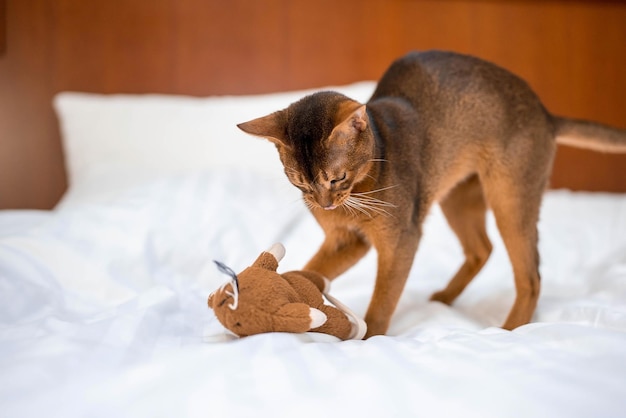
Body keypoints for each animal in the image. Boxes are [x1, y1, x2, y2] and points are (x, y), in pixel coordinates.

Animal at [235, 49, 624, 336]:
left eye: (337, 178)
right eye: (300, 183)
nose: (325, 205)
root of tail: (545, 113)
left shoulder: (401, 239)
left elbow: (383, 300)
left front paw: (371, 338)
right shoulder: (348, 240)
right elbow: (311, 269)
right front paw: (281, 285)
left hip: (510, 198)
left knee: (531, 276)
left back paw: (509, 330)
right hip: (459, 196)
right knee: (482, 249)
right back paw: (444, 299)